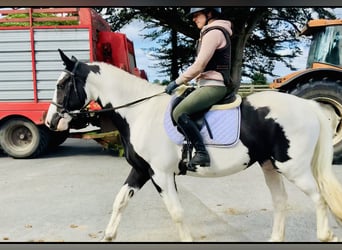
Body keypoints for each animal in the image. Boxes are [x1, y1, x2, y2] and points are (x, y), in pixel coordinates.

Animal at [45, 49, 342, 242]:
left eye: (63, 84)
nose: (50, 121)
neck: (140, 112)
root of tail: (310, 107)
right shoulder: (141, 171)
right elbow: (120, 201)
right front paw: (108, 236)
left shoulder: (161, 174)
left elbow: (176, 213)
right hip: (270, 165)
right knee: (281, 202)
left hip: (293, 168)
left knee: (319, 198)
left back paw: (325, 235)